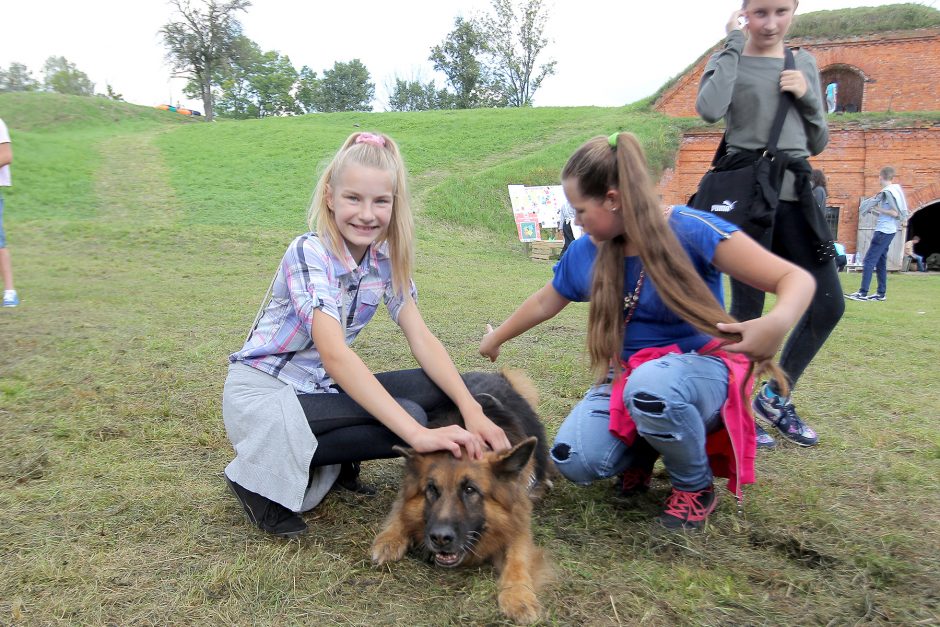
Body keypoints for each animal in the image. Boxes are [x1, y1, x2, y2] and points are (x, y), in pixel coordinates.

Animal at [370, 370, 552, 624]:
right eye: (432, 490)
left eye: (470, 490)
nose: (439, 538)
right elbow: (400, 510)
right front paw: (390, 539)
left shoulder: (519, 518)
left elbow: (518, 557)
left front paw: (519, 596)